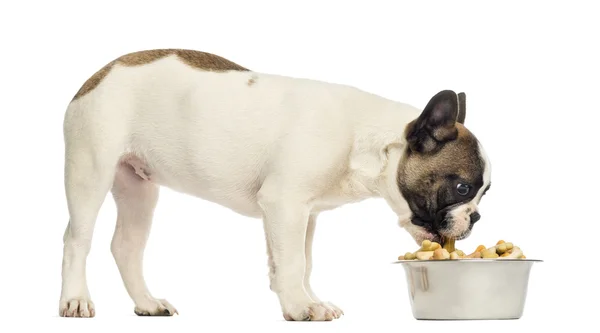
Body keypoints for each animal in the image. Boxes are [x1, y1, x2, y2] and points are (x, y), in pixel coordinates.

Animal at [59, 48, 492, 320]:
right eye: (463, 189)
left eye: (484, 192)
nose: (475, 217)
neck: (367, 142)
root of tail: (99, 74)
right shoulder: (285, 204)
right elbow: (294, 262)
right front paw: (301, 308)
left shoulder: (304, 214)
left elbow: (301, 263)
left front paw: (305, 300)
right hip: (90, 170)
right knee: (77, 240)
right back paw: (76, 300)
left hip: (138, 188)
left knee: (126, 247)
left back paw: (147, 303)